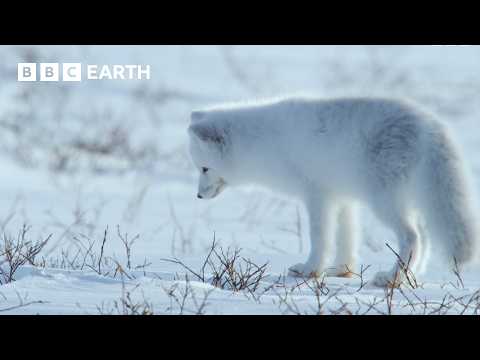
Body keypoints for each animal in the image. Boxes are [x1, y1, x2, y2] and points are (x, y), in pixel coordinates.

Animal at [188, 95, 480, 286]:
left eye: (204, 168)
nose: (198, 196)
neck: (262, 142)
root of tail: (430, 125)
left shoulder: (317, 196)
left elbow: (320, 238)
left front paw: (309, 270)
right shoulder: (341, 197)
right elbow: (346, 237)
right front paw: (342, 270)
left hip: (384, 202)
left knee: (412, 237)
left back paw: (391, 279)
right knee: (425, 237)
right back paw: (409, 278)